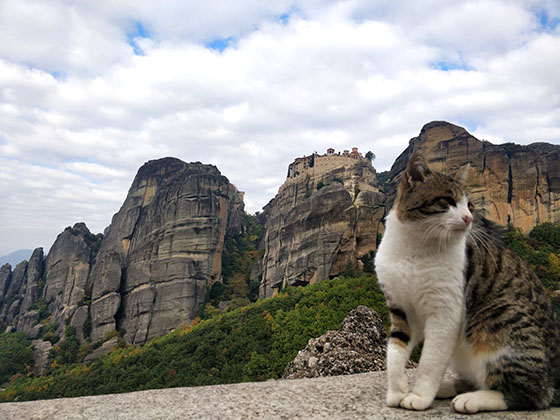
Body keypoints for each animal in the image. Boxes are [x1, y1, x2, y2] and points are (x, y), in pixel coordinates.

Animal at [372, 152, 560, 414]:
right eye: (448, 200)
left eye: (469, 205)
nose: (469, 218)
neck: (415, 247)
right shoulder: (401, 308)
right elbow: (395, 352)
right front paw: (397, 392)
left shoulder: (445, 310)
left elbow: (430, 359)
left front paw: (419, 396)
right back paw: (450, 387)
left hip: (499, 323)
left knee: (532, 394)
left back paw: (472, 399)